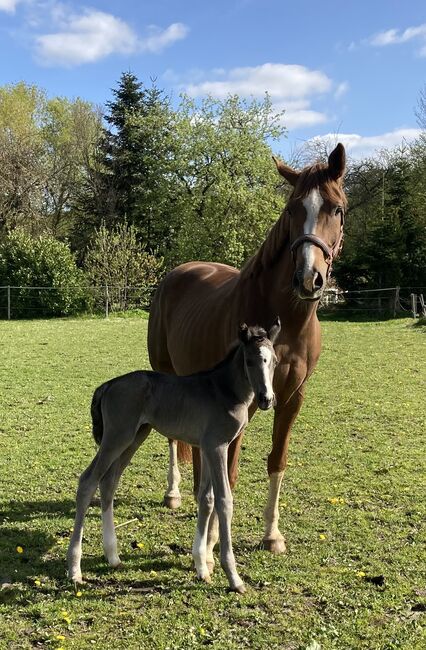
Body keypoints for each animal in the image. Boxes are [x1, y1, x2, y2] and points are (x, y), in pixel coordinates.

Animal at [65, 318, 280, 592]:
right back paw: (75, 569)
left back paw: (113, 556)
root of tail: (108, 385)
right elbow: (224, 500)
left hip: (135, 437)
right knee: (88, 481)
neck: (224, 391)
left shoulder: (207, 447)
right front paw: (234, 577)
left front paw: (201, 567)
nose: (266, 399)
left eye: (274, 361)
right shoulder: (217, 447)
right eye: (250, 361)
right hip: (116, 438)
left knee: (108, 482)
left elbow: (206, 499)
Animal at [146, 143, 346, 556]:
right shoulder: (243, 402)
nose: (308, 278)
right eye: (292, 209)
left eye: (337, 209)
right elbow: (230, 472)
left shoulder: (292, 398)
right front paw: (210, 543)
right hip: (165, 372)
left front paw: (272, 534)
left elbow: (277, 460)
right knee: (174, 438)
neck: (285, 320)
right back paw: (175, 494)